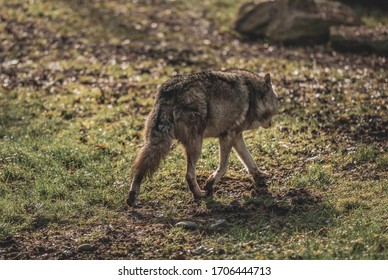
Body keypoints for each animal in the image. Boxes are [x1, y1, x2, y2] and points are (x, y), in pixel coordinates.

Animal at [127, 69, 278, 207]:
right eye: (276, 107)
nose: (271, 124)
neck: (254, 97)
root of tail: (170, 91)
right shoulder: (227, 136)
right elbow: (224, 167)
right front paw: (210, 183)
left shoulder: (236, 138)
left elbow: (250, 162)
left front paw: (260, 177)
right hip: (196, 147)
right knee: (189, 175)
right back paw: (200, 195)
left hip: (153, 143)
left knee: (139, 168)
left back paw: (131, 198)